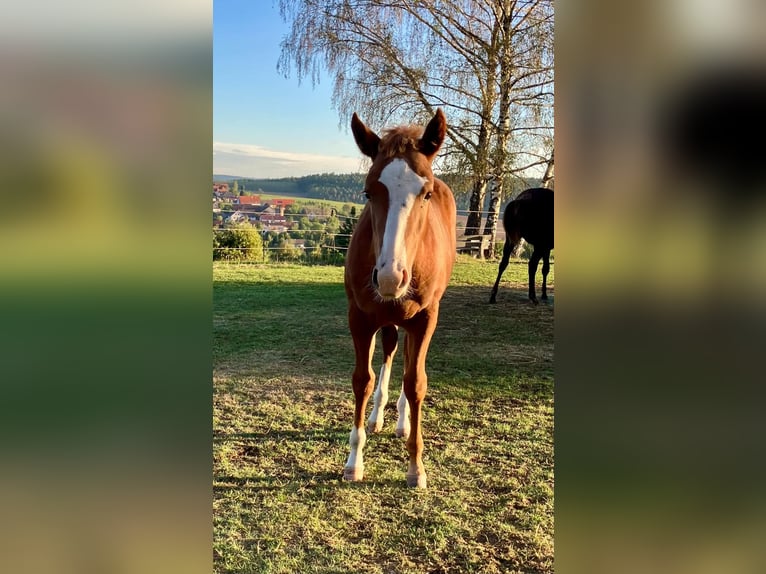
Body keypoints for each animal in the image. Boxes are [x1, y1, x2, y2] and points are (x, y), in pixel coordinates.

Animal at [343, 109, 456, 489]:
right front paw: (354, 461)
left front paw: (416, 467)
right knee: (392, 351)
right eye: (368, 192)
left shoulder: (425, 318)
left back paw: (402, 423)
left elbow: (416, 382)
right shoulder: (360, 317)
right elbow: (363, 381)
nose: (391, 277)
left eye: (426, 194)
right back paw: (379, 417)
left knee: (407, 362)